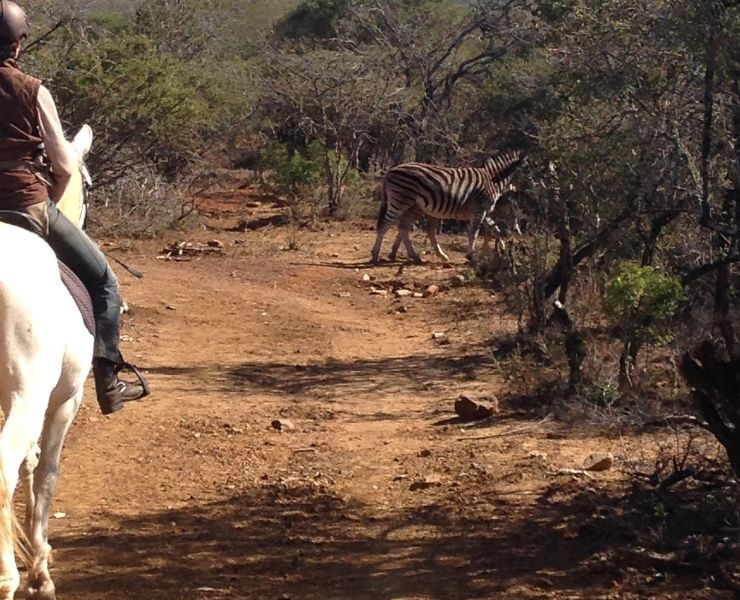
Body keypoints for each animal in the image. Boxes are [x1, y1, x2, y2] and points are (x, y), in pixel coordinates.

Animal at [370, 149, 528, 264]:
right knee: (385, 224)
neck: (493, 180)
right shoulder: (479, 210)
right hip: (400, 200)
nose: (519, 232)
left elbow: (495, 230)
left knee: (403, 227)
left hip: (411, 205)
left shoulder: (483, 212)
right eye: (514, 206)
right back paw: (375, 256)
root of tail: (391, 170)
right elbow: (474, 233)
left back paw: (414, 256)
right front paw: (472, 255)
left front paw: (498, 251)